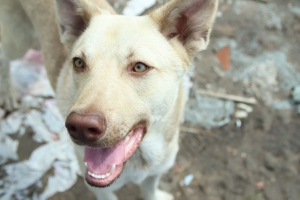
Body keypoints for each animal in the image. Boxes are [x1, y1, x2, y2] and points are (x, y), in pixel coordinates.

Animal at [0, 0, 217, 199]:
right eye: (79, 63)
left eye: (139, 67)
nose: (80, 127)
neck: (140, 159)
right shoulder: (101, 190)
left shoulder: (156, 171)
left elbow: (149, 190)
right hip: (17, 42)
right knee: (4, 56)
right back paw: (8, 93)